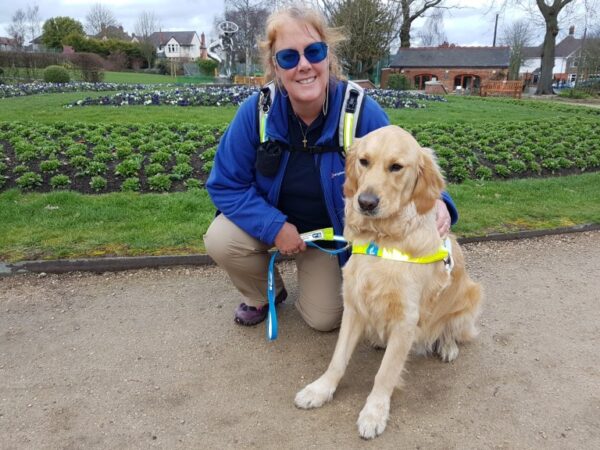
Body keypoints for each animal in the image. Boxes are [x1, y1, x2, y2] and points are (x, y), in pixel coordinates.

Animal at [296, 125, 482, 440]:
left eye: (396, 167)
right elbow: (337, 358)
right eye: (364, 161)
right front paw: (320, 389)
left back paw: (447, 346)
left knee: (450, 329)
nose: (366, 202)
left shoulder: (406, 319)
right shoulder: (353, 305)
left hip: (472, 296)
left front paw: (374, 413)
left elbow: (385, 374)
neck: (381, 240)